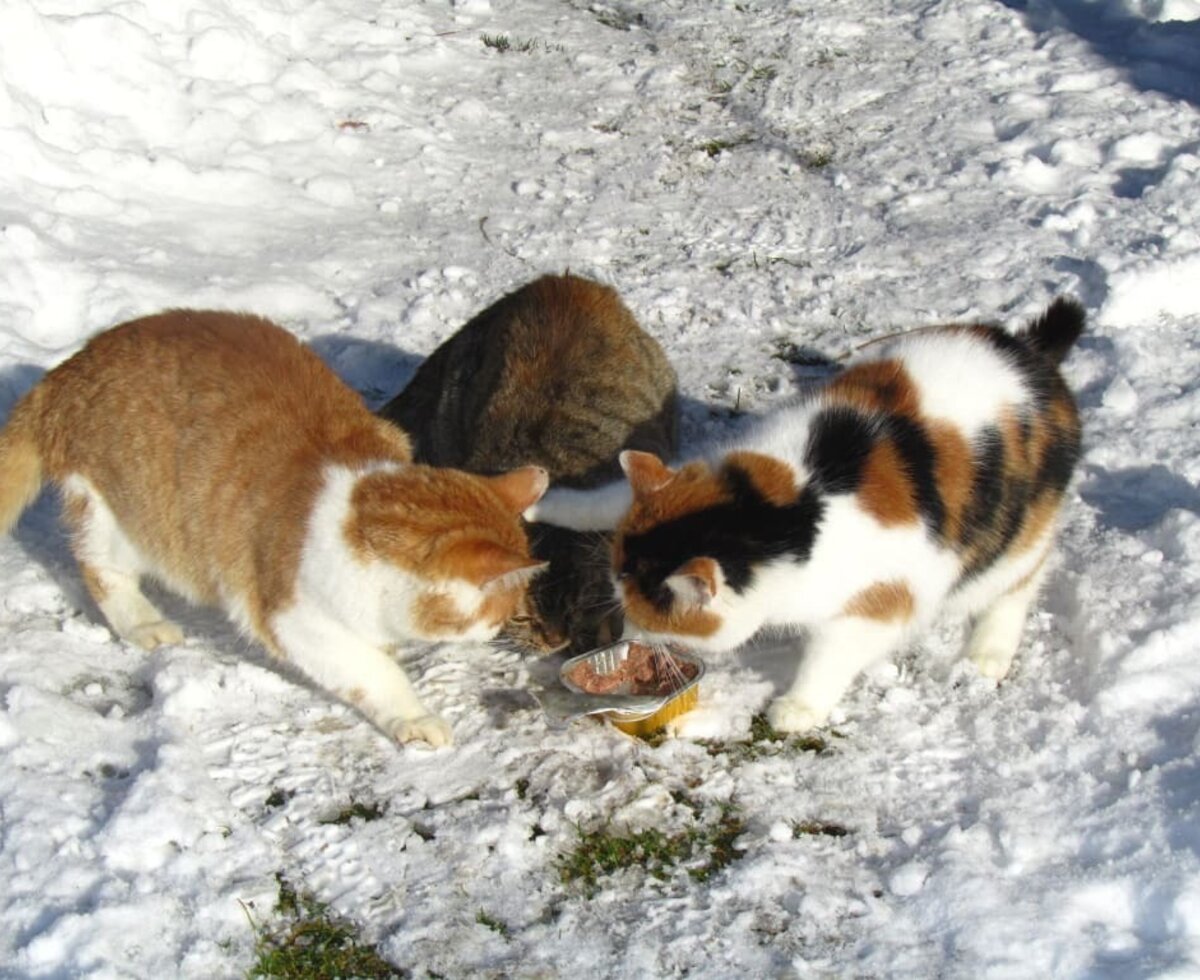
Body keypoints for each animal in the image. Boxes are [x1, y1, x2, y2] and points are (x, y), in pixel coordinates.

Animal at [0, 309, 549, 743]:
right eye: (502, 612)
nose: (497, 631)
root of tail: (69, 368)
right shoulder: (291, 618)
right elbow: (374, 672)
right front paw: (411, 715)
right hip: (117, 515)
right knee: (99, 567)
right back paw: (144, 623)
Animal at [528, 298, 1089, 734]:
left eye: (647, 616)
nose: (625, 635)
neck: (779, 518)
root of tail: (1032, 354)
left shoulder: (877, 604)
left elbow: (831, 657)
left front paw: (797, 708)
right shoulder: (713, 470)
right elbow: (600, 499)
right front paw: (536, 498)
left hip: (1014, 538)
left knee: (1017, 584)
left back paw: (987, 653)